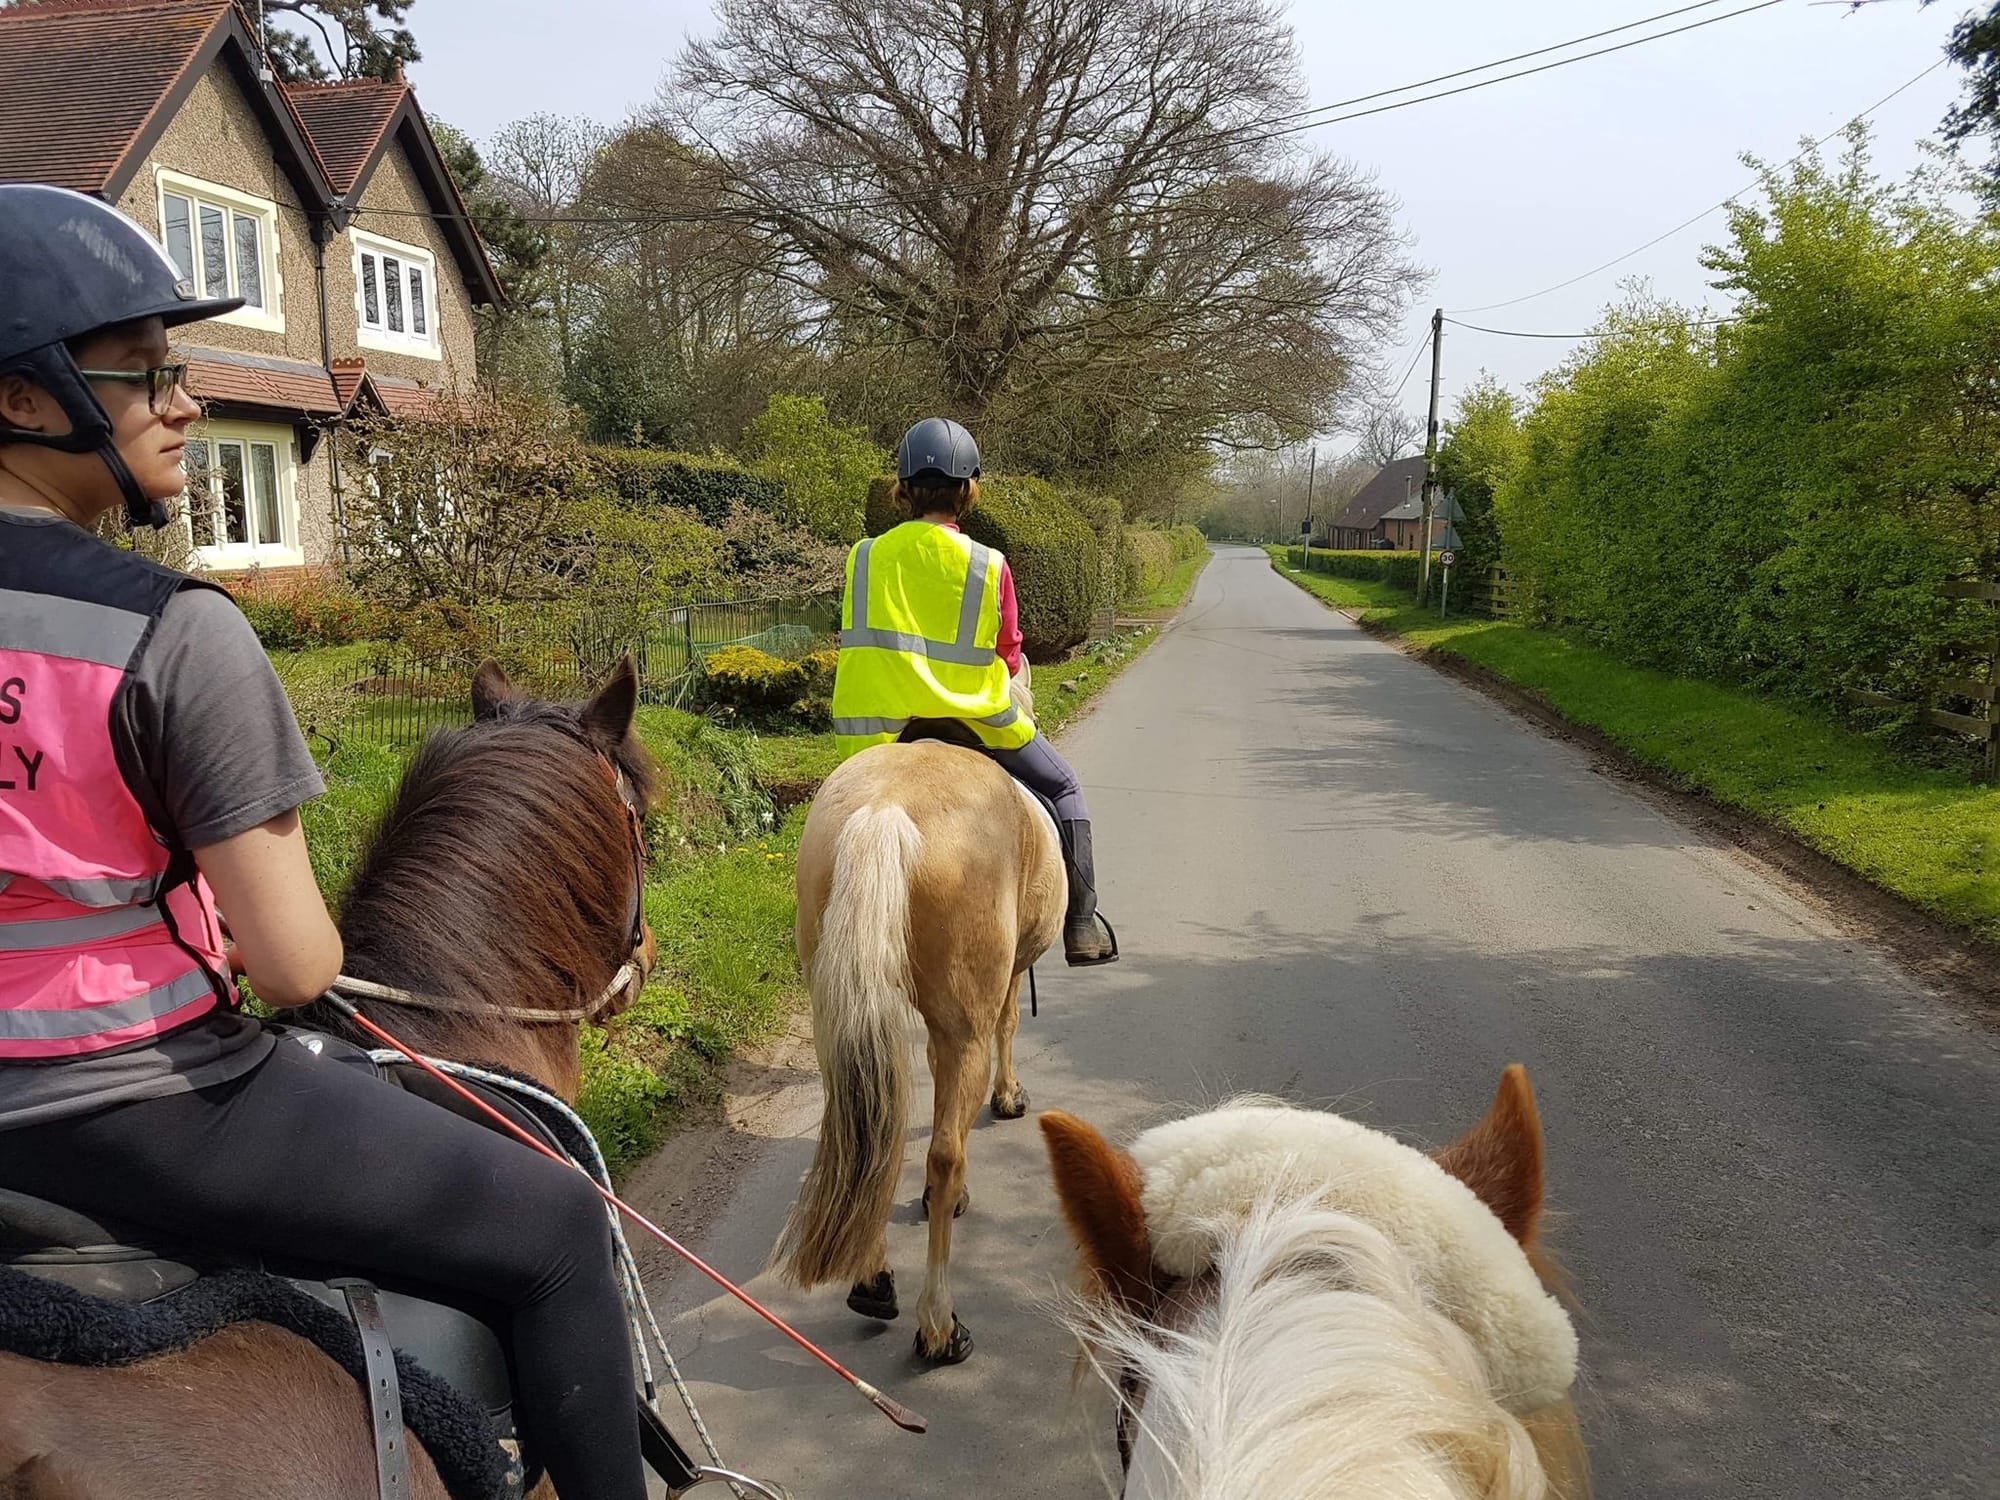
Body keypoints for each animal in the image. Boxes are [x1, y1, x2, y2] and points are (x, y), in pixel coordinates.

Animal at [772, 668, 1072, 1360]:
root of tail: (883, 810)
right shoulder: (997, 989)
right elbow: (1007, 1028)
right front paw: (1008, 1099)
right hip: (965, 1021)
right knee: (942, 1151)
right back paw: (938, 1325)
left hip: (838, 1015)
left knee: (867, 1125)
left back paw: (873, 1281)